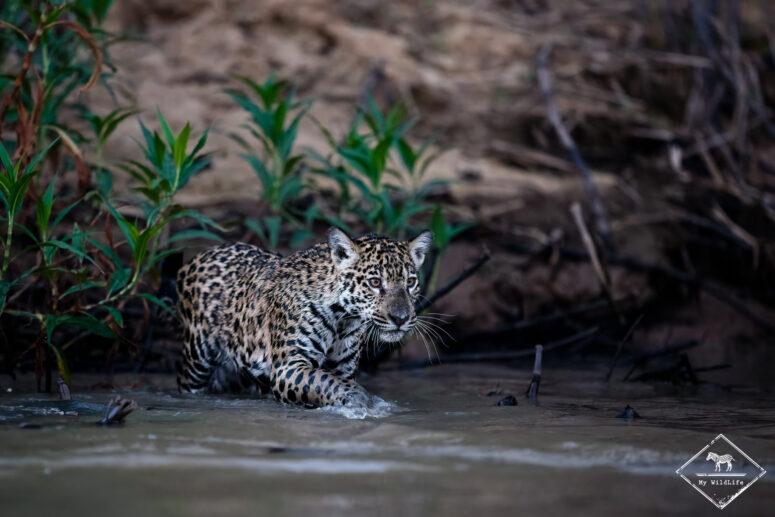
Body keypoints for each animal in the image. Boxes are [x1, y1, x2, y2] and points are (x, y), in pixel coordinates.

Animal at [176, 227, 433, 408]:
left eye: (411, 282)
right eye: (375, 282)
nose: (400, 318)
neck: (343, 319)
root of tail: (200, 255)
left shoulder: (343, 367)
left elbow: (328, 382)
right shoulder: (289, 365)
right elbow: (324, 381)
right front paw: (360, 399)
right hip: (196, 359)